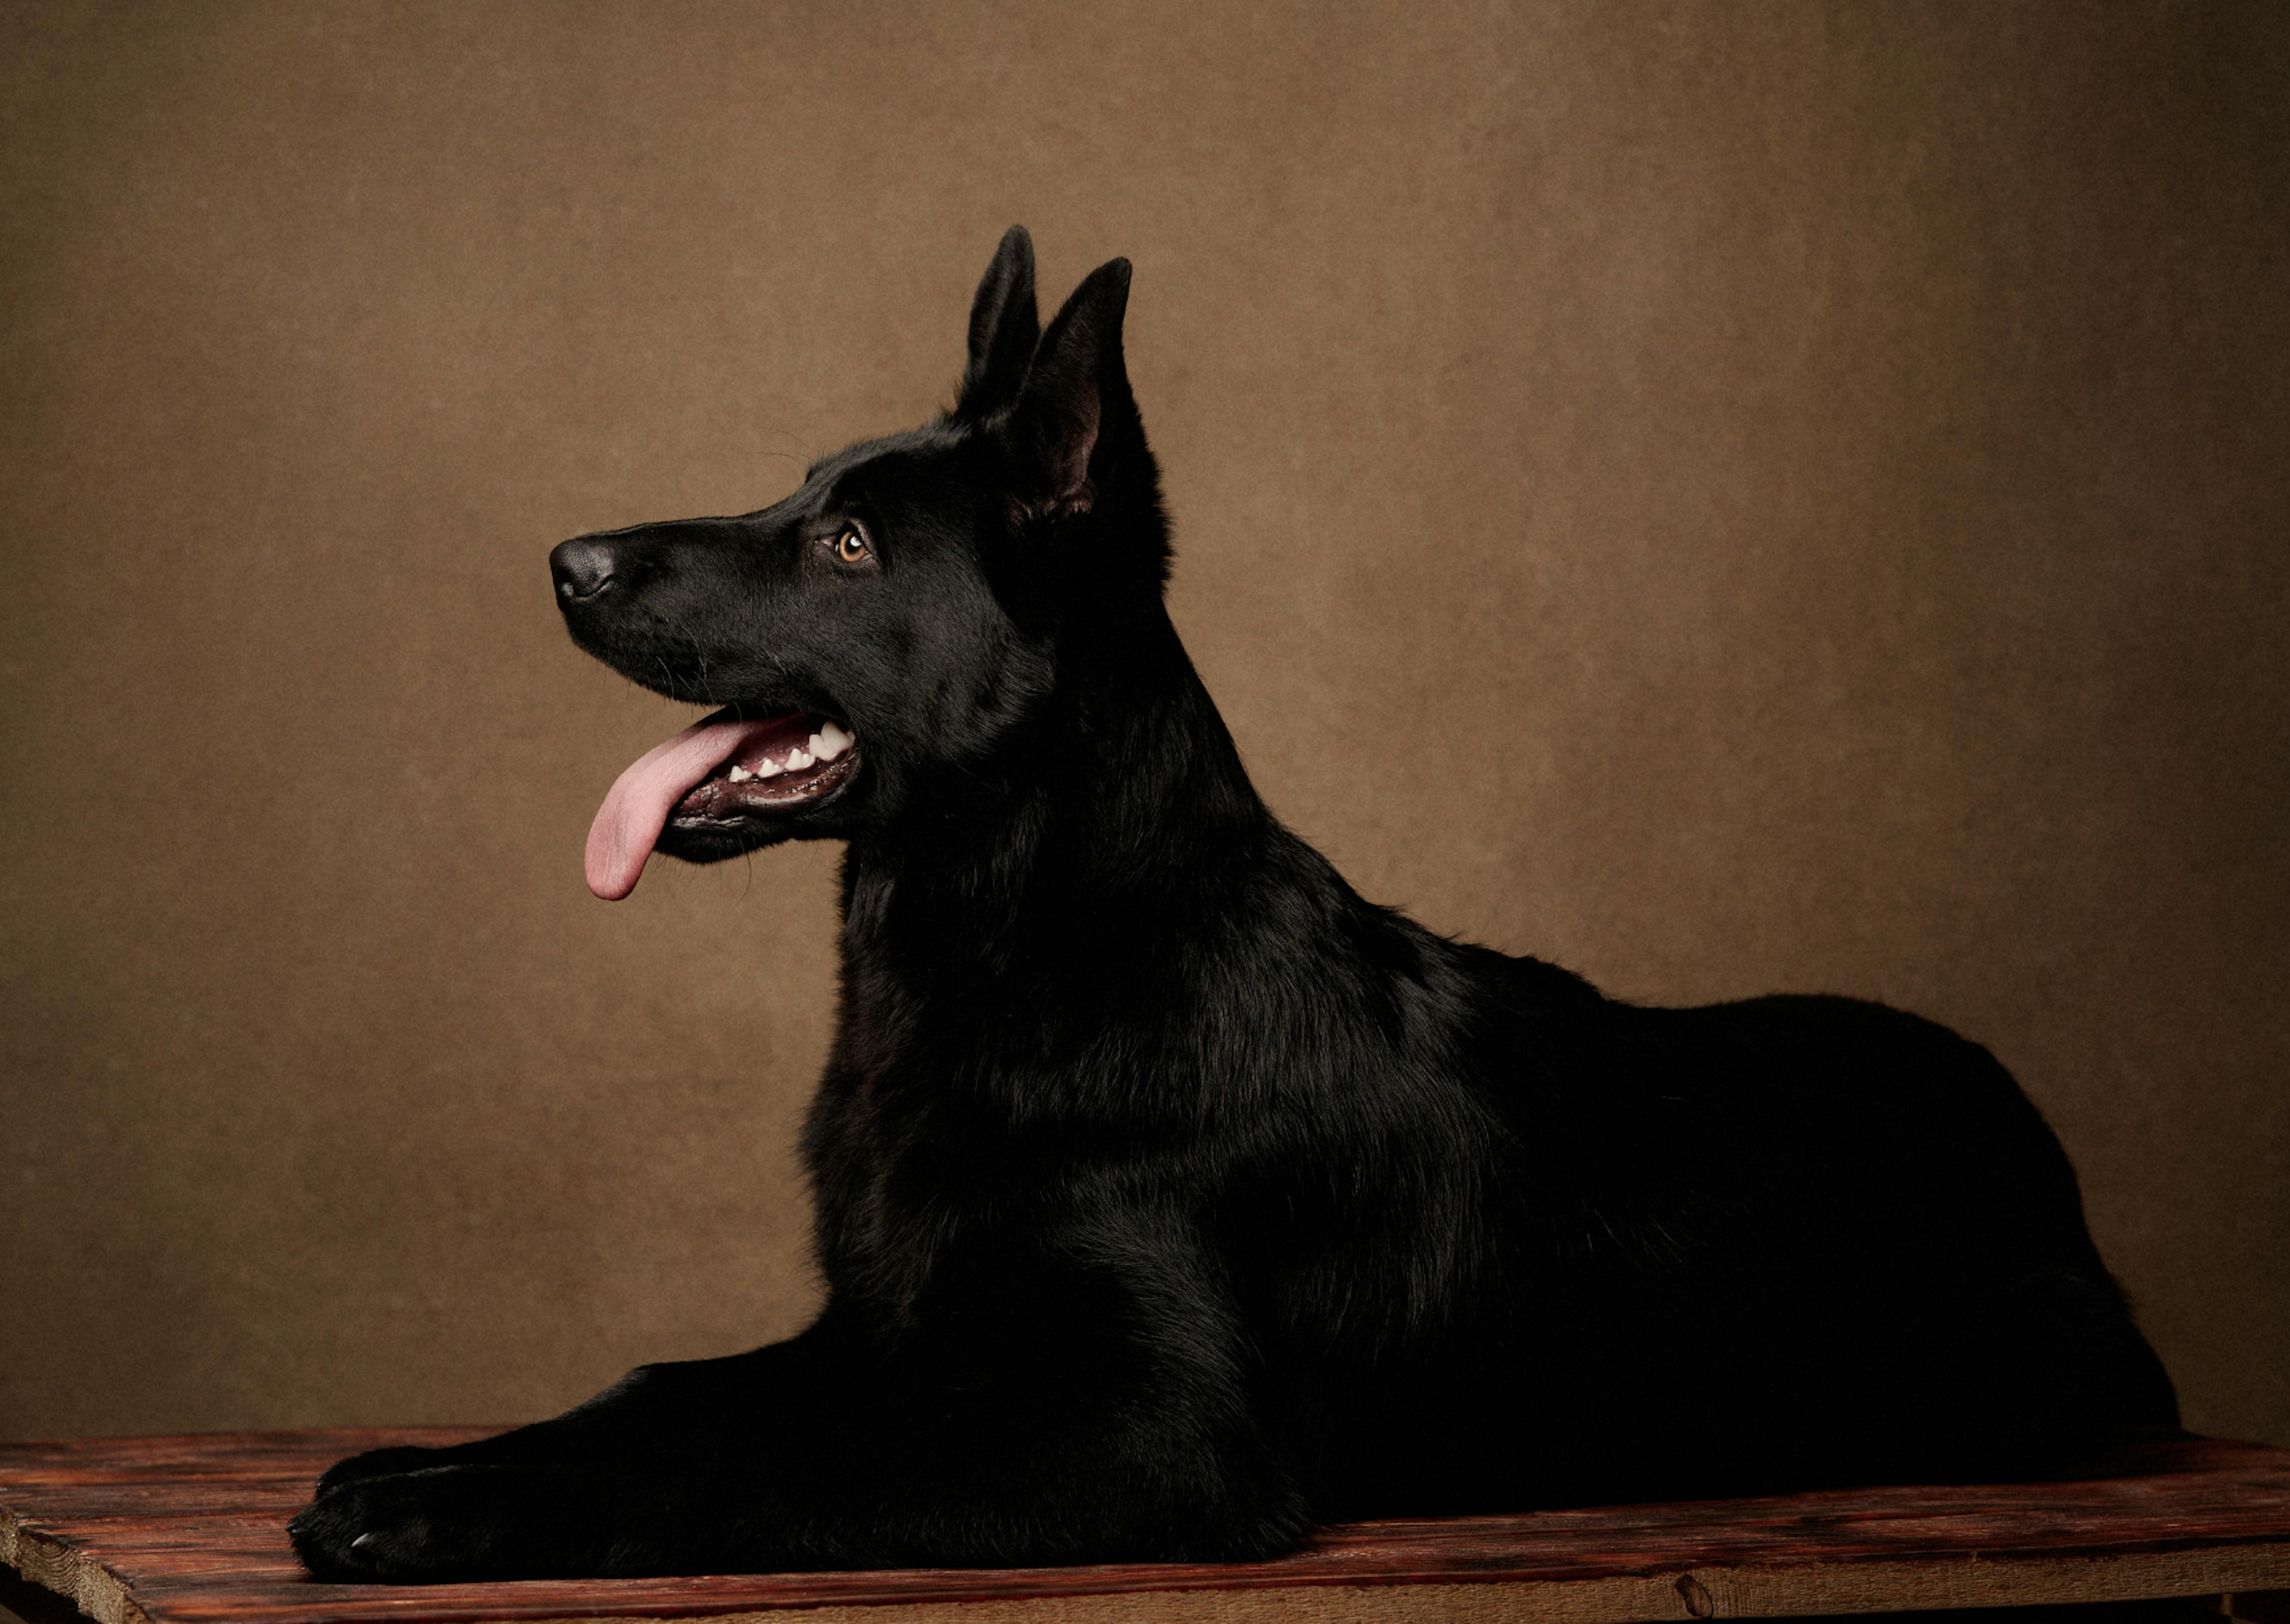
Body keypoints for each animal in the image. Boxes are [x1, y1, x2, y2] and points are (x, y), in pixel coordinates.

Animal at [295, 231, 2171, 1585]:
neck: (1026, 944)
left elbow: (750, 1458)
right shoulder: (882, 1330)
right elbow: (660, 1394)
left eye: (848, 547)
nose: (567, 562)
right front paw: (431, 1460)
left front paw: (438, 1514)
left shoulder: (1143, 1436)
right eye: (800, 491)